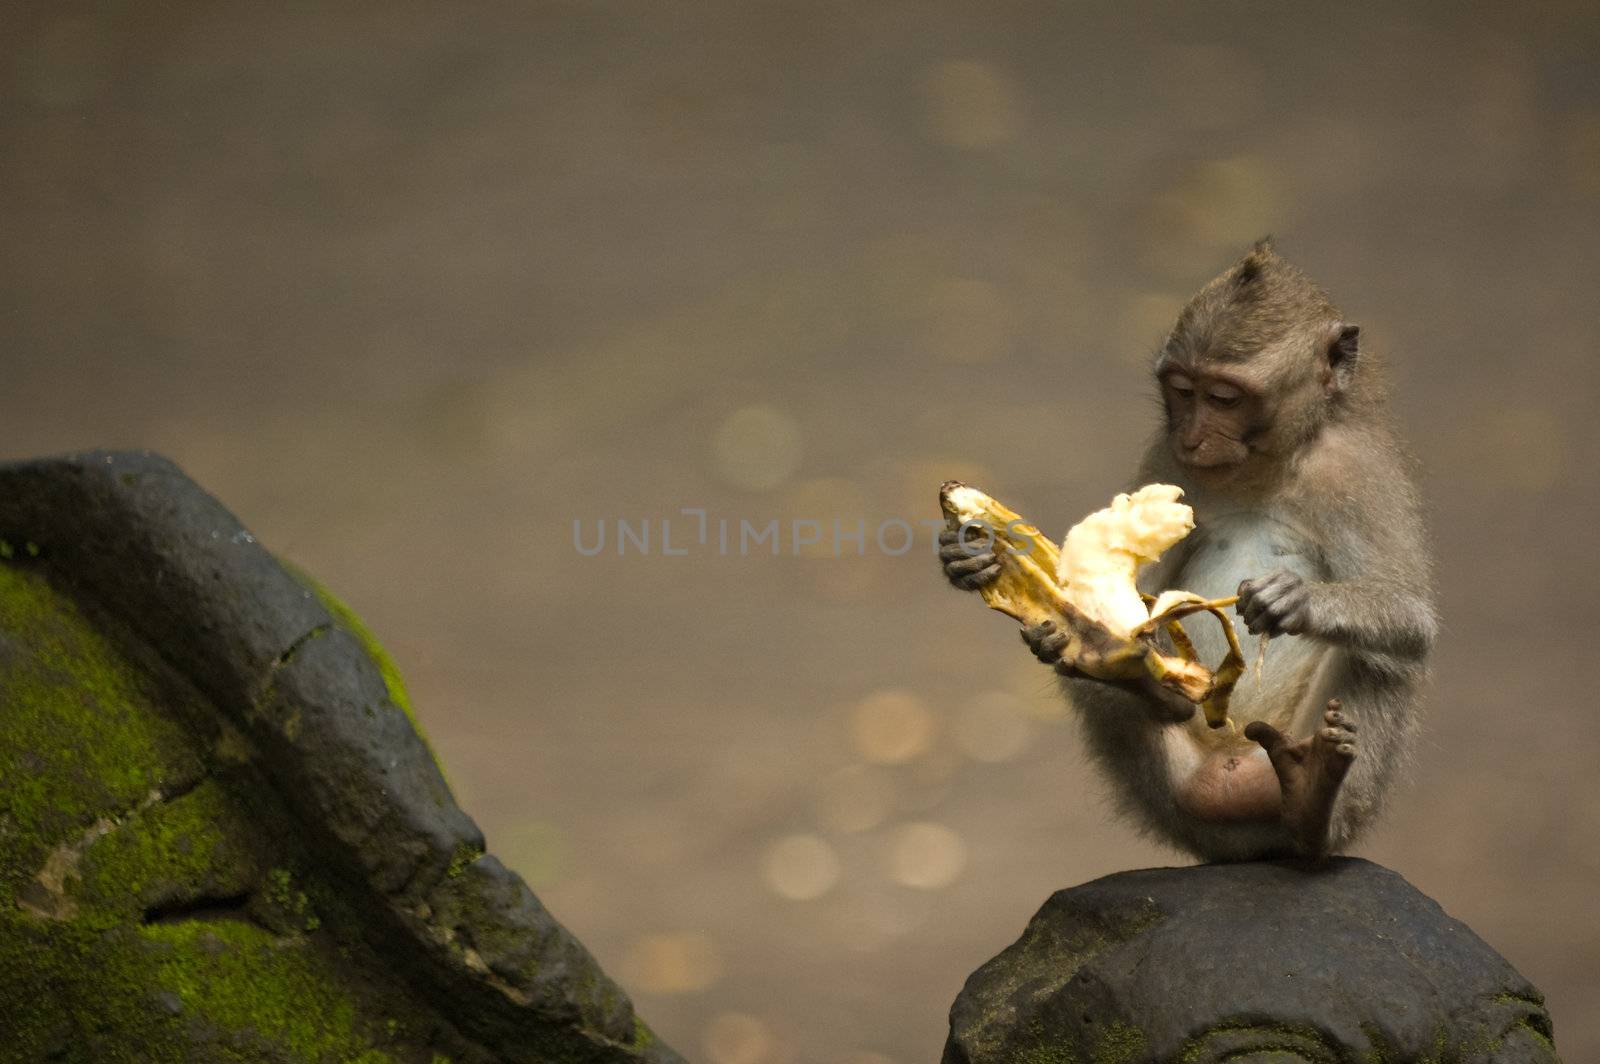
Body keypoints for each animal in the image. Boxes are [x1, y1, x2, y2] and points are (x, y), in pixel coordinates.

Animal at [934, 236, 1440, 857]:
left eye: (1224, 397)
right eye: (1181, 390)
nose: (1193, 436)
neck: (1261, 467)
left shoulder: (1356, 473)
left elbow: (1412, 620)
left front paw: (1296, 601)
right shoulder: (1166, 456)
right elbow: (1141, 588)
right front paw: (965, 559)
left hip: (1328, 791)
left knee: (1379, 659)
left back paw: (1313, 796)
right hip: (1170, 793)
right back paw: (1145, 687)